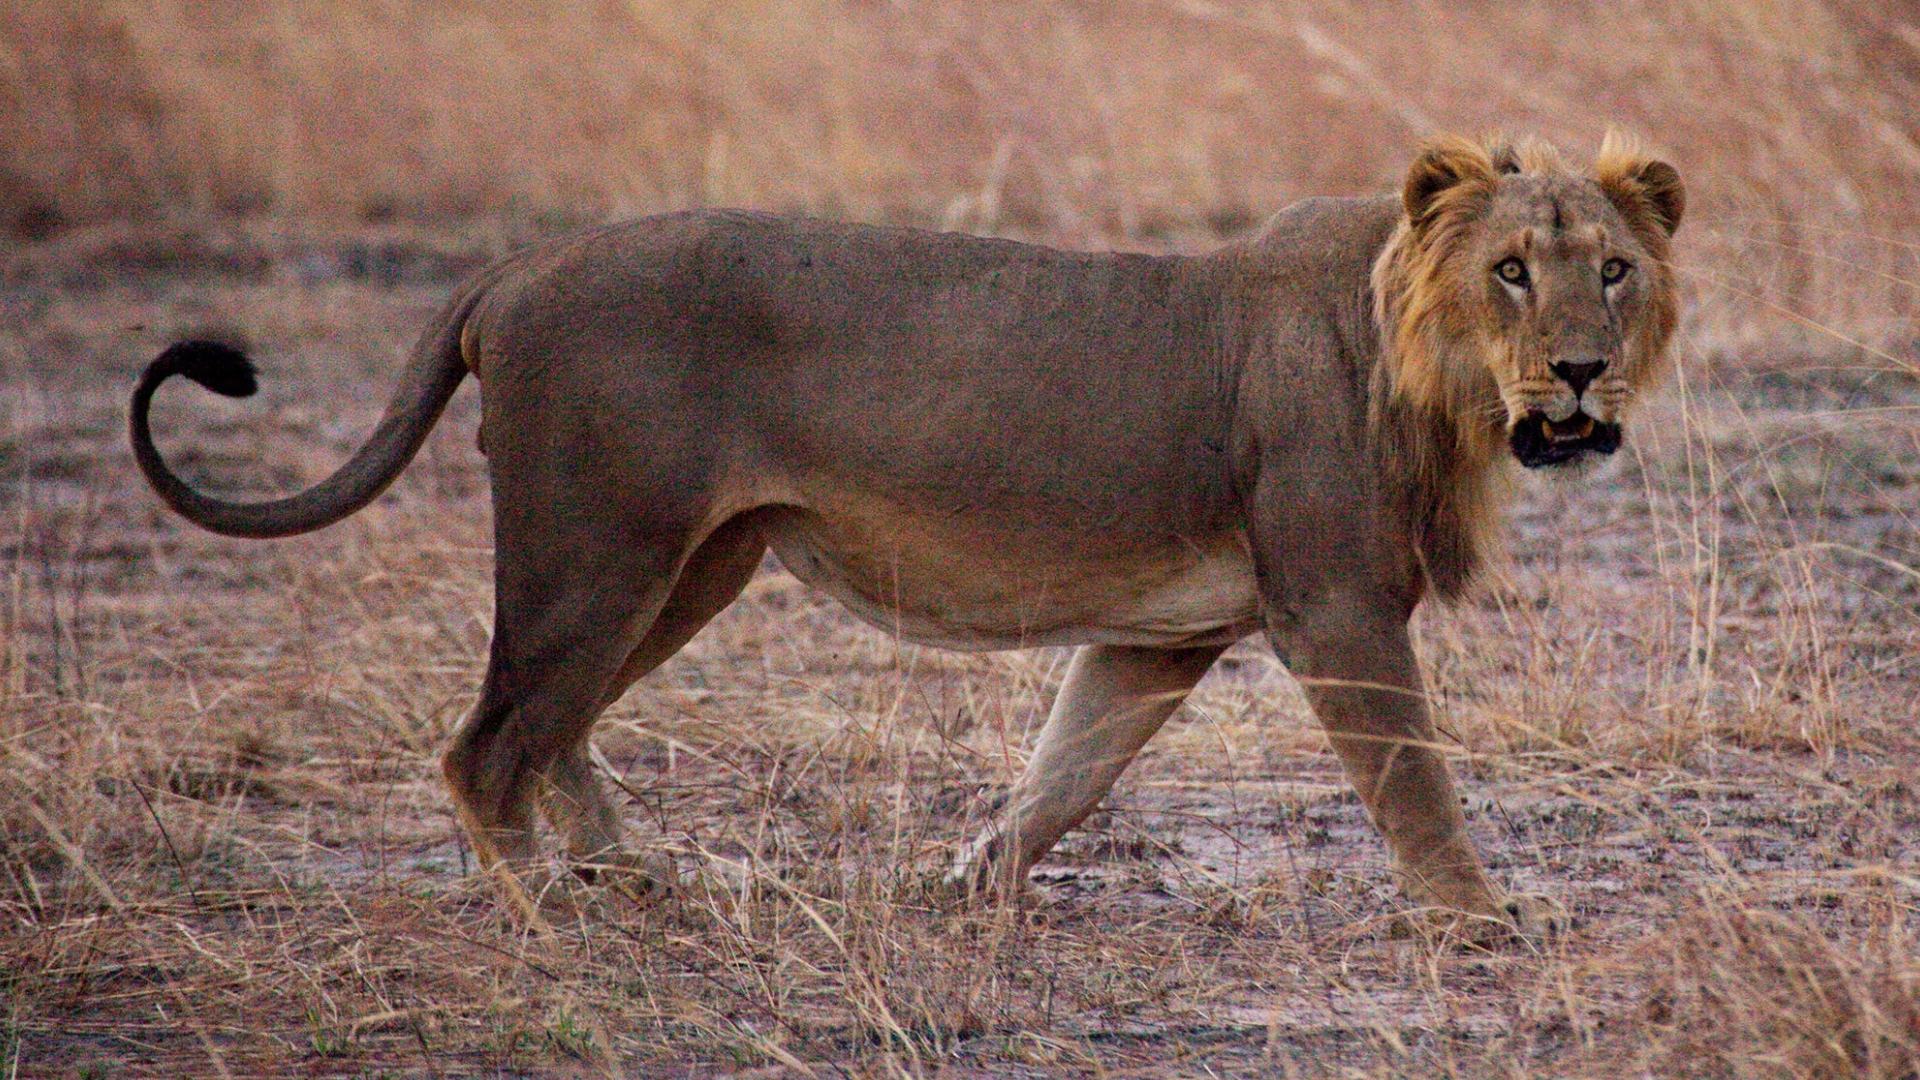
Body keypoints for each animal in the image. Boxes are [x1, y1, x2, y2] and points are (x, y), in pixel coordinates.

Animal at [131, 130, 1681, 930]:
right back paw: (548, 915)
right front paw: (1482, 917)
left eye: (1614, 270)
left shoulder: (1160, 636)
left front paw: (967, 884)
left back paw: (636, 872)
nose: (1581, 374)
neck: (1440, 383)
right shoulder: (1336, 607)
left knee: (552, 727)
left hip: (692, 562)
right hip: (600, 546)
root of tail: (517, 264)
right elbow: (1413, 778)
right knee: (486, 745)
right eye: (1511, 271)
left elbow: (1068, 773)